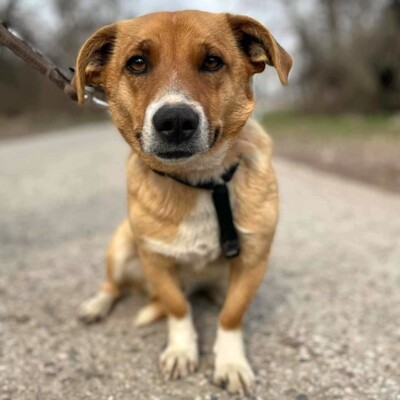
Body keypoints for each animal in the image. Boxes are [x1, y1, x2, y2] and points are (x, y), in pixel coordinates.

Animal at [73, 9, 292, 394]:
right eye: (137, 63)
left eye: (212, 61)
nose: (175, 120)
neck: (199, 181)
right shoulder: (156, 261)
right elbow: (178, 308)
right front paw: (181, 350)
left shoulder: (253, 260)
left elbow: (231, 315)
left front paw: (231, 362)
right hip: (120, 246)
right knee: (114, 286)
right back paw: (96, 305)